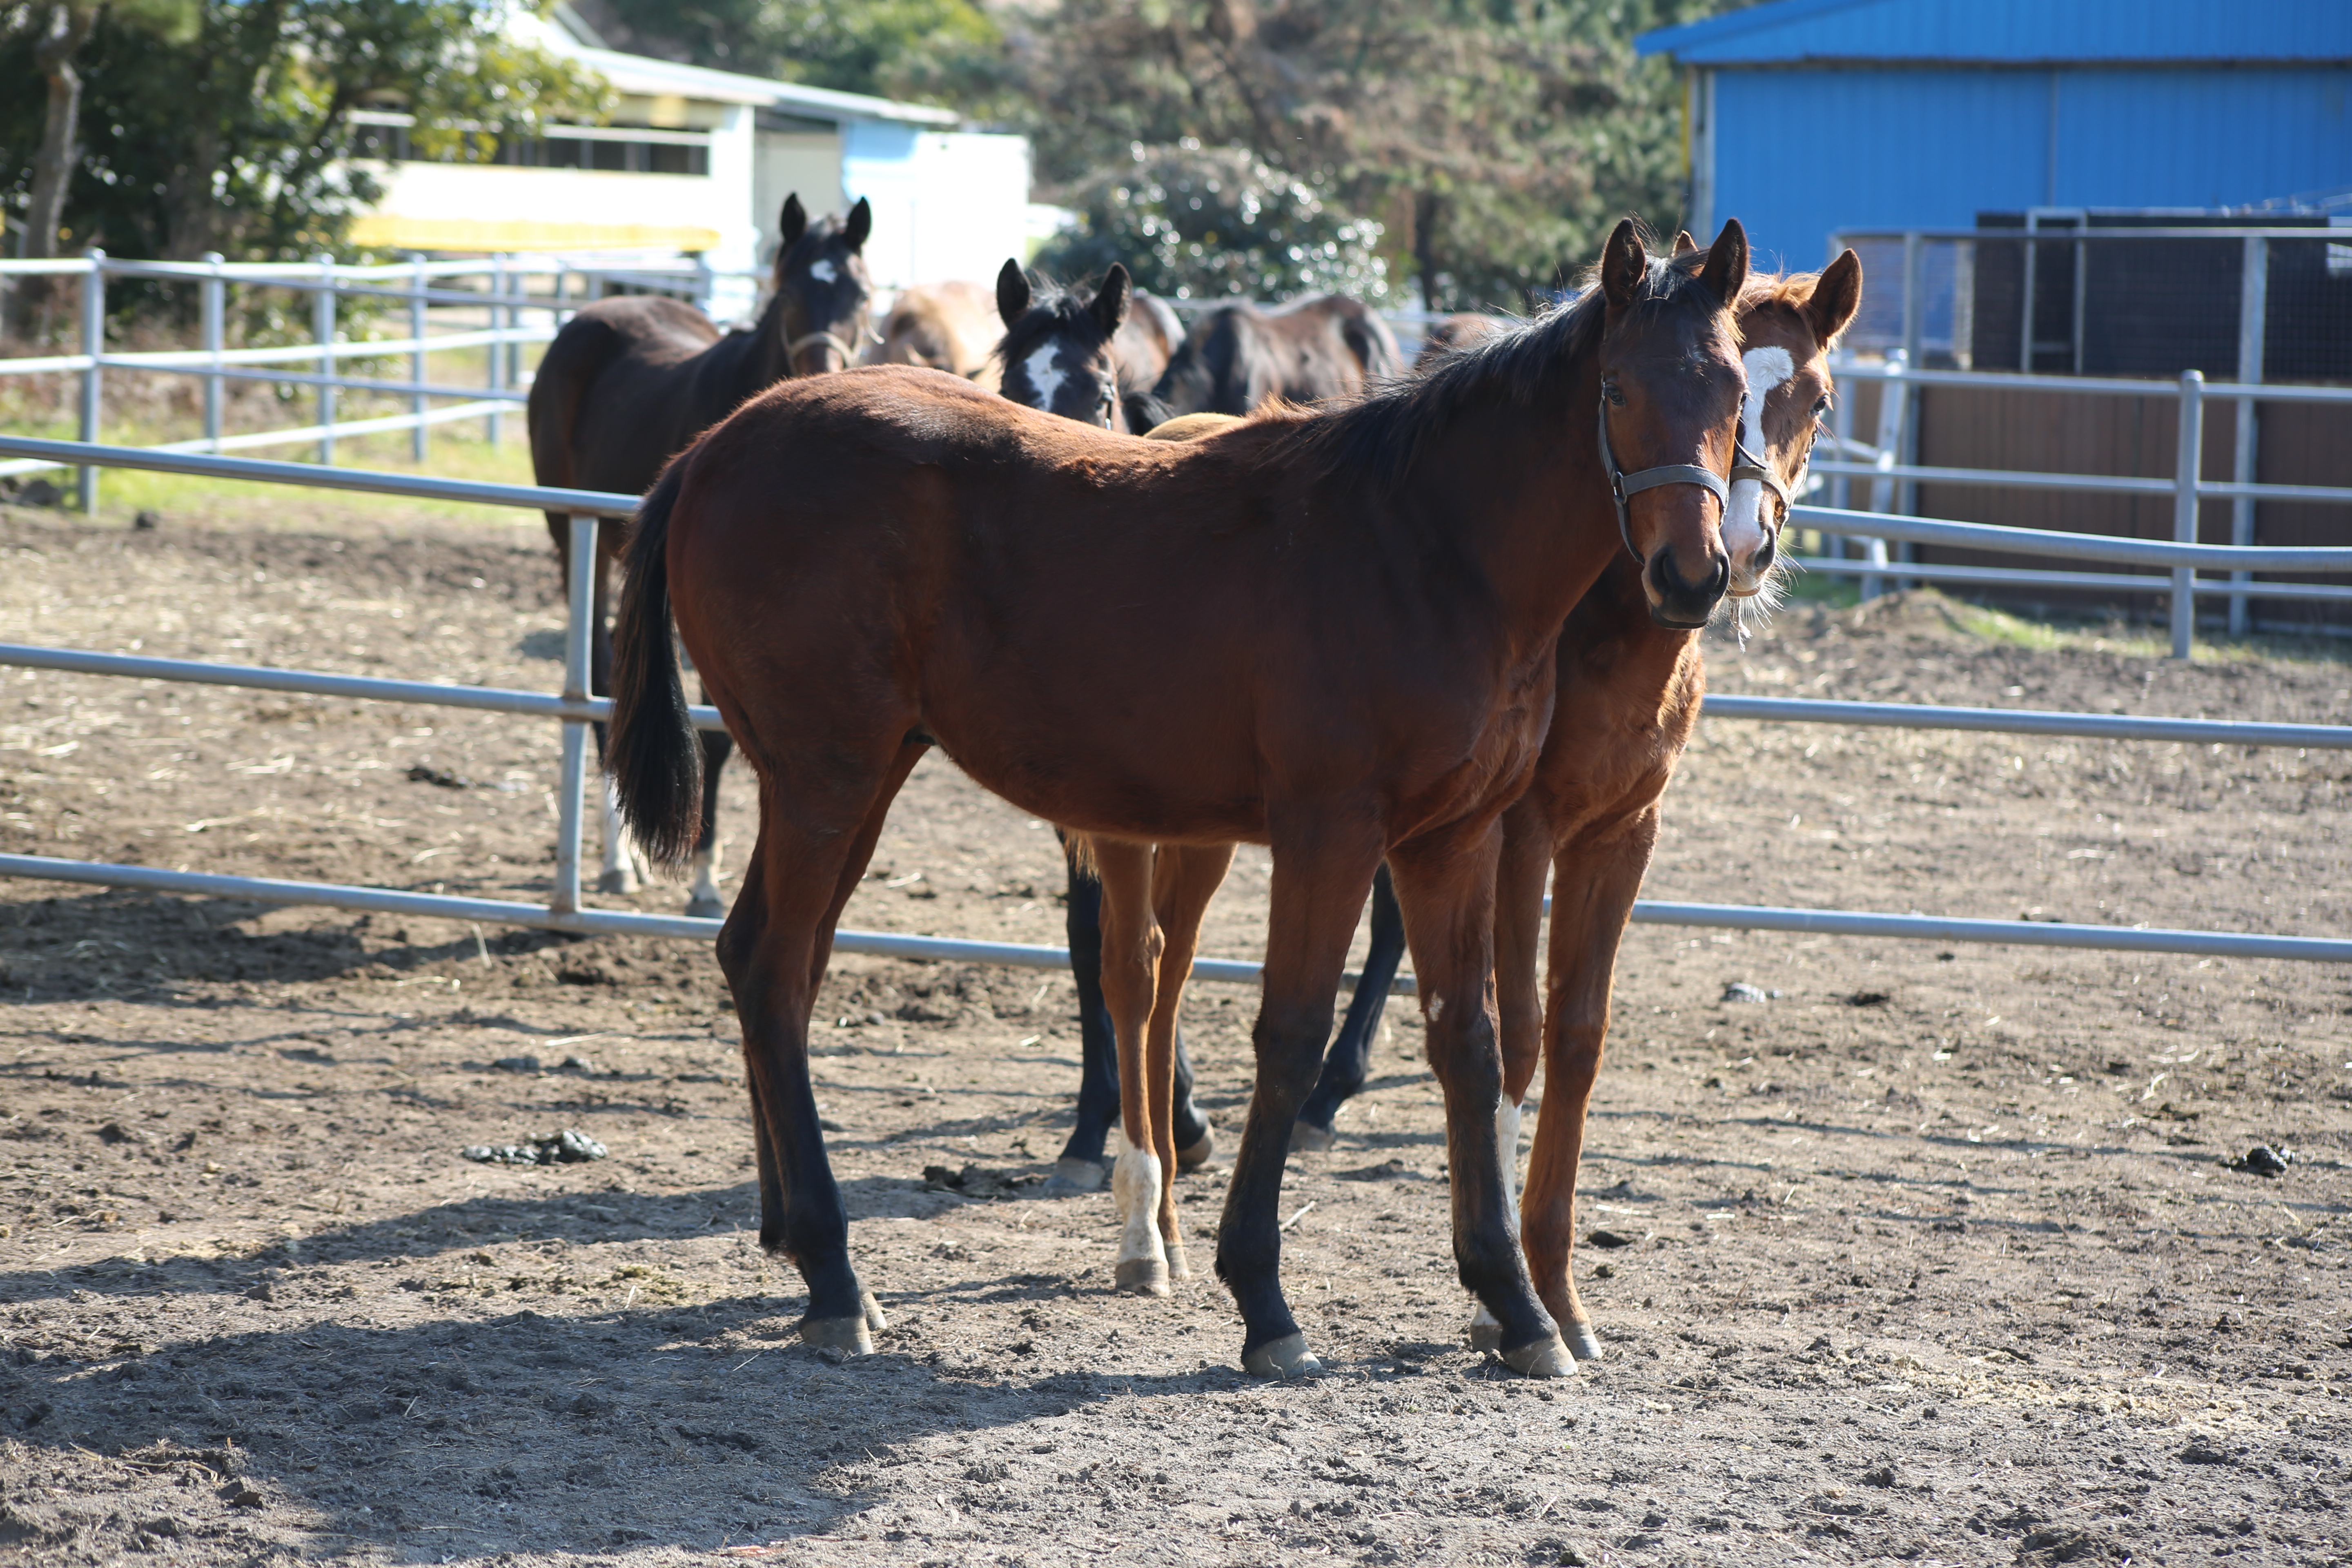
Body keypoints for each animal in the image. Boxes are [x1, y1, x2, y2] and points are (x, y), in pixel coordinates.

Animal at [524, 193, 875, 921]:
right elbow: (710, 732)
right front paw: (705, 879)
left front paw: (709, 872)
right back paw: (618, 858)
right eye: (788, 291)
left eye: (861, 293)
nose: (826, 379)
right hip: (575, 539)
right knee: (600, 677)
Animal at [1486, 240, 1872, 1363]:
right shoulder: (1519, 835)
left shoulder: (1622, 837)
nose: (1727, 555)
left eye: (1815, 400)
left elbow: (1575, 1037)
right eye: (1616, 392)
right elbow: (1514, 1035)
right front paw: (1504, 1301)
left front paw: (1558, 1296)